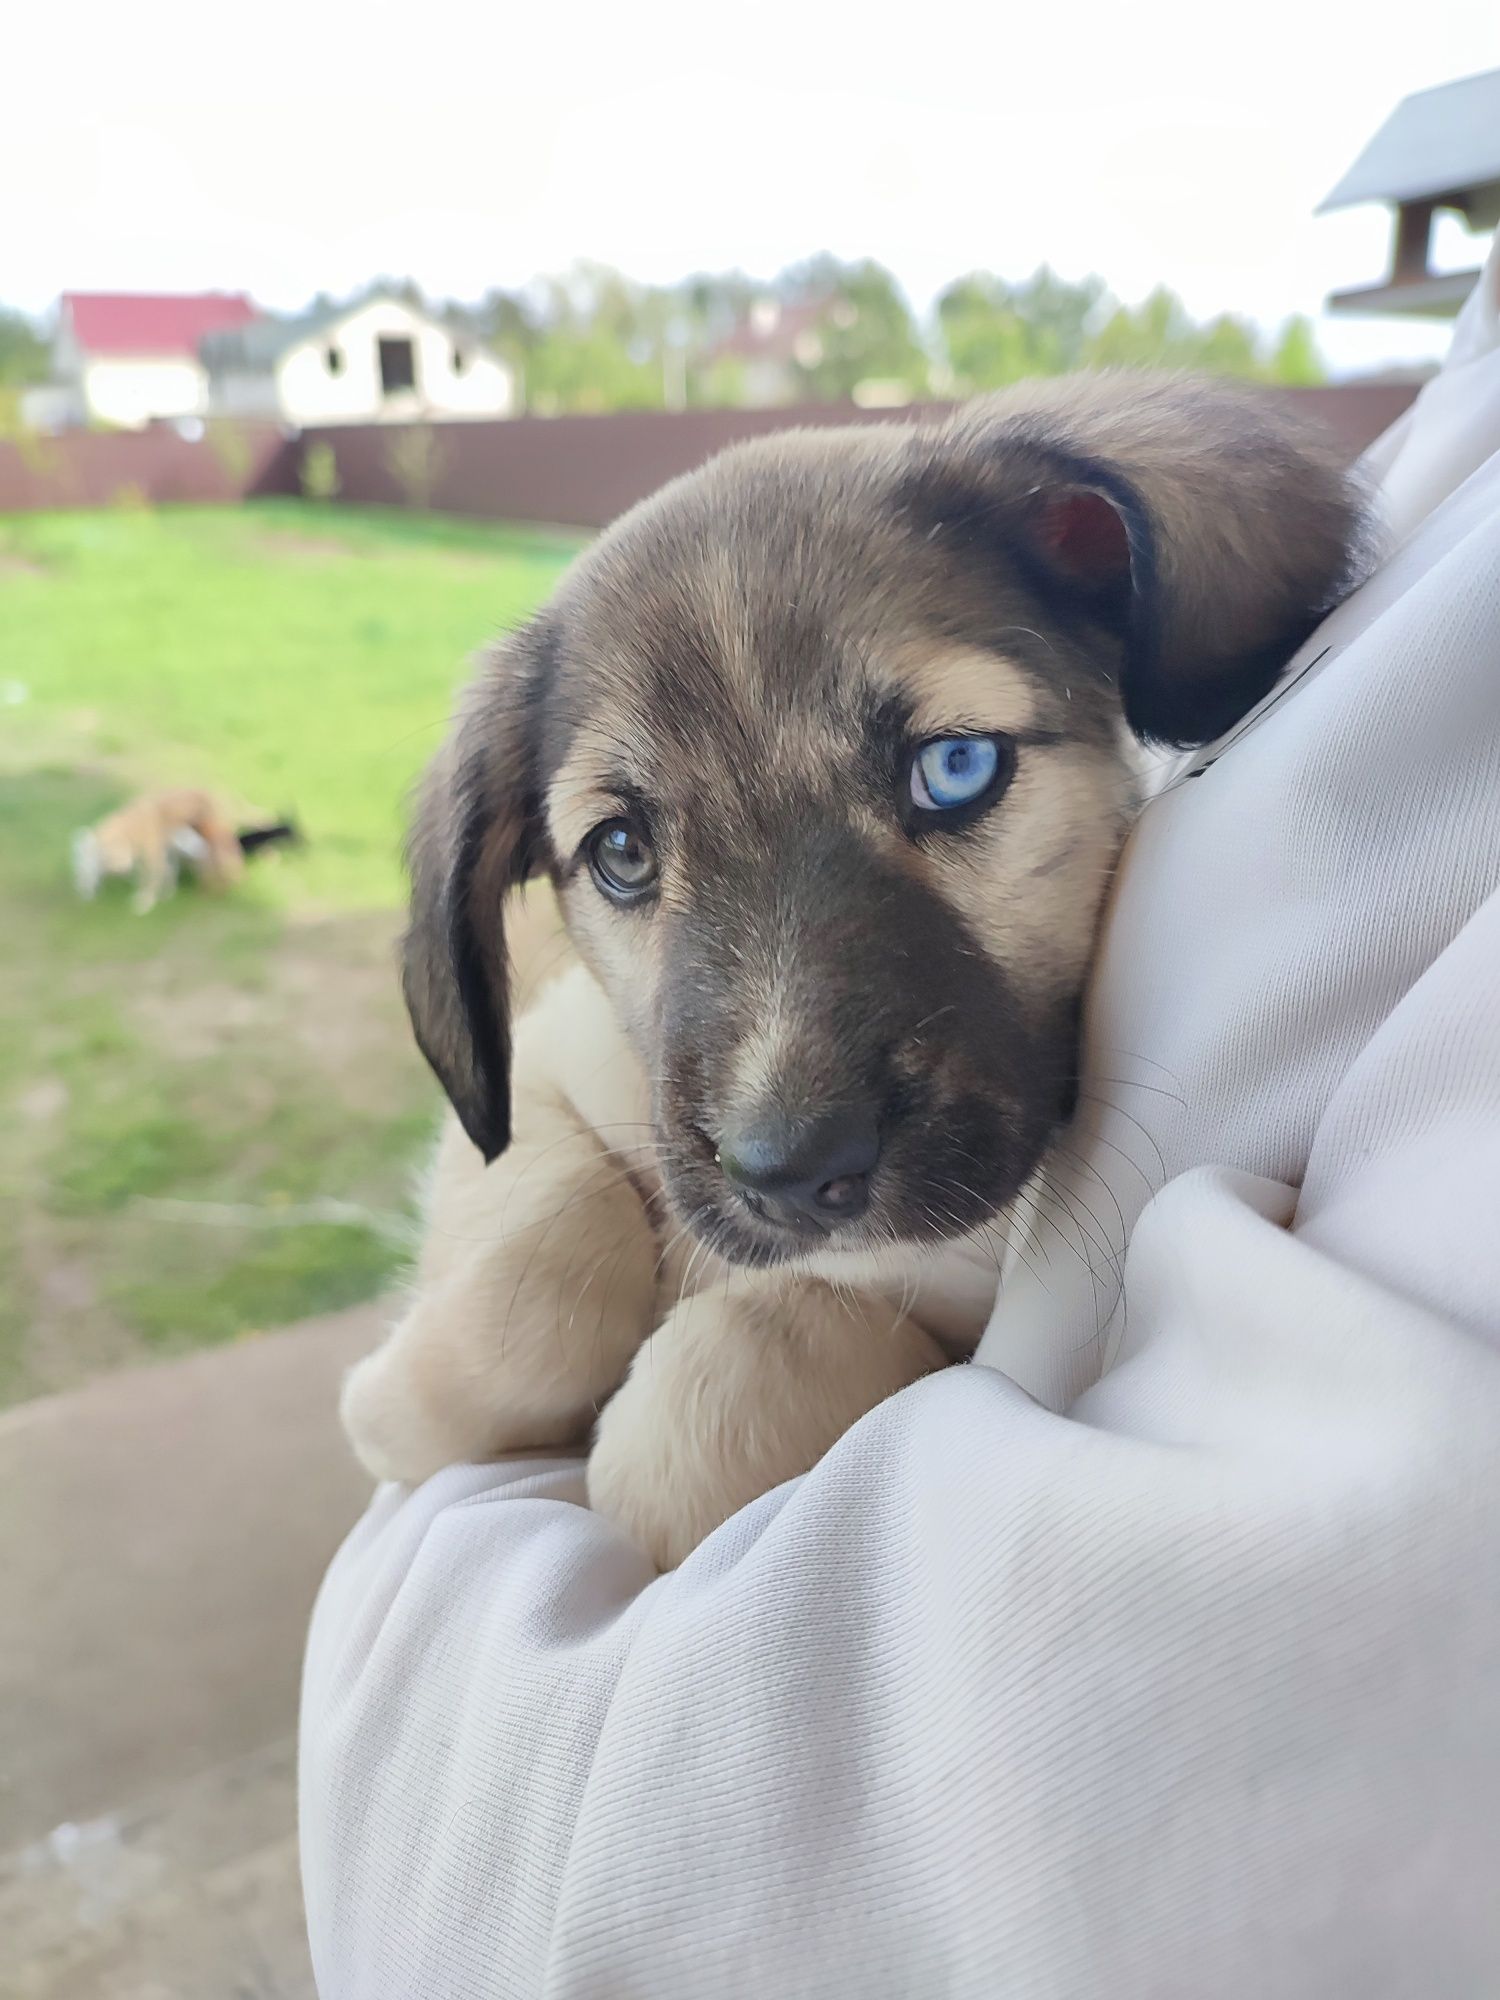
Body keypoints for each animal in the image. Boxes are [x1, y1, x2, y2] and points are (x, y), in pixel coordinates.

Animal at [338, 372, 1360, 1560]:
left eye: (954, 767)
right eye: (623, 851)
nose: (790, 1171)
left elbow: (716, 1390)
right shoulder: (543, 1071)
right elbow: (539, 1272)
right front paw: (393, 1407)